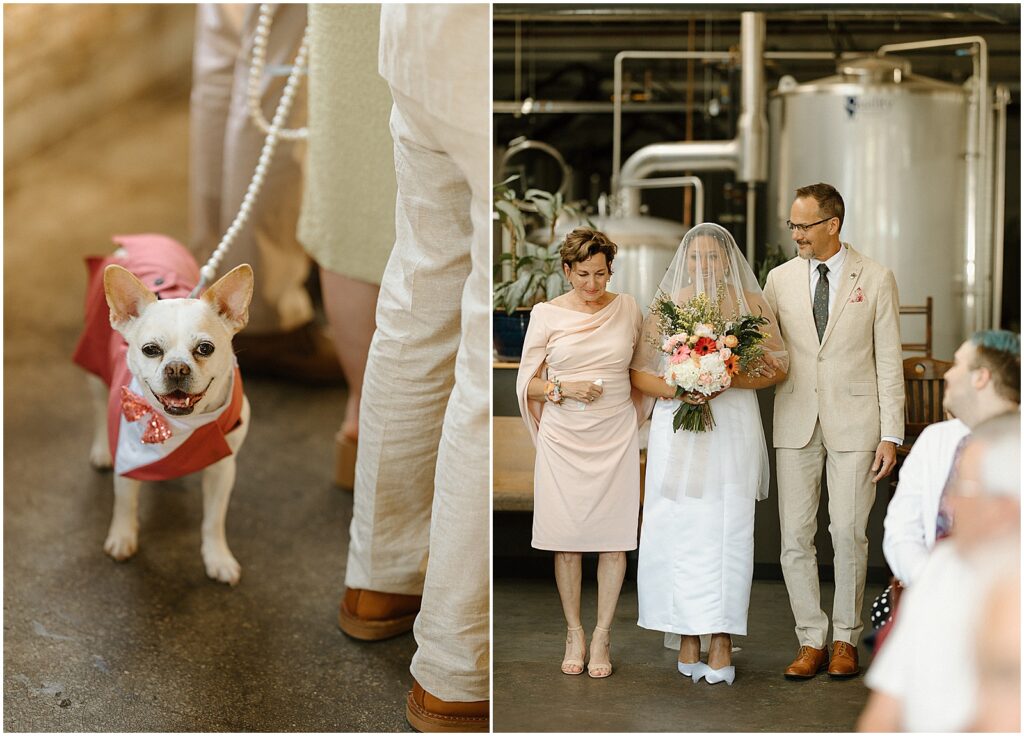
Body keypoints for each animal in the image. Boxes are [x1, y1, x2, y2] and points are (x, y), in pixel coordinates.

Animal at [73, 236, 251, 585]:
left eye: (205, 349)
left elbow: (213, 520)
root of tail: (141, 237)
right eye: (151, 350)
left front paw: (218, 557)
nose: (177, 368)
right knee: (98, 408)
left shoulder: (223, 469)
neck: (177, 426)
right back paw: (100, 450)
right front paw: (122, 537)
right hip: (95, 367)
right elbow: (125, 502)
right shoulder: (128, 457)